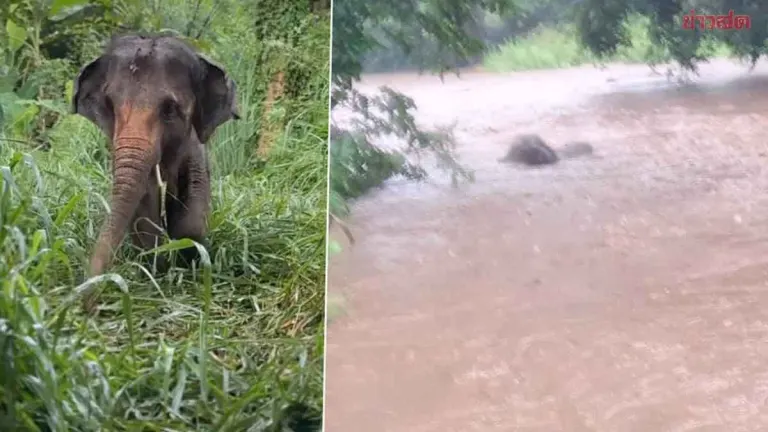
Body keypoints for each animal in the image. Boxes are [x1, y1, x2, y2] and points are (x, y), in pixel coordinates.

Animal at [72, 33, 239, 280]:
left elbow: (194, 210)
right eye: (110, 106)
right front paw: (158, 265)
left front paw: (188, 257)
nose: (89, 280)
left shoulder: (195, 151)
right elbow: (143, 207)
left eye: (169, 108)